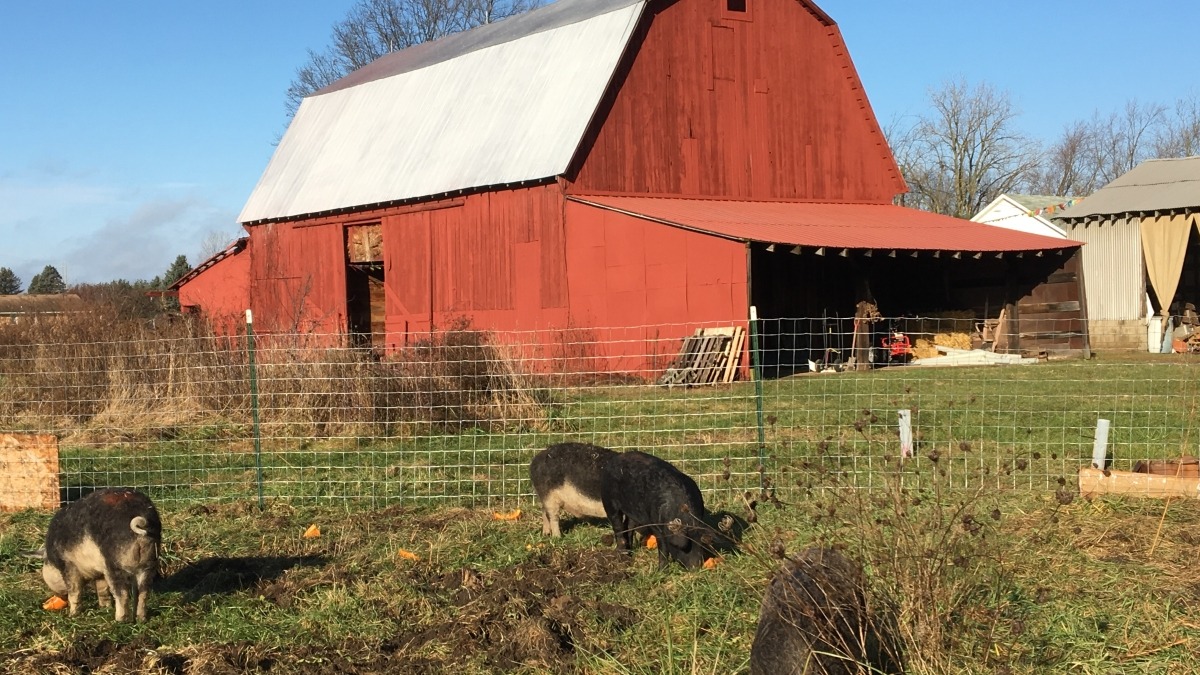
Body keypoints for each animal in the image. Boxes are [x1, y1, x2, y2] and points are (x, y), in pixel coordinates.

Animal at [42, 482, 162, 619]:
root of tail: (139, 518)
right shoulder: (100, 571)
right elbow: (102, 589)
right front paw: (105, 608)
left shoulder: (68, 564)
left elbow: (75, 591)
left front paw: (72, 615)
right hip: (150, 562)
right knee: (144, 591)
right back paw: (141, 618)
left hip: (115, 562)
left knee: (122, 593)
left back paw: (120, 619)